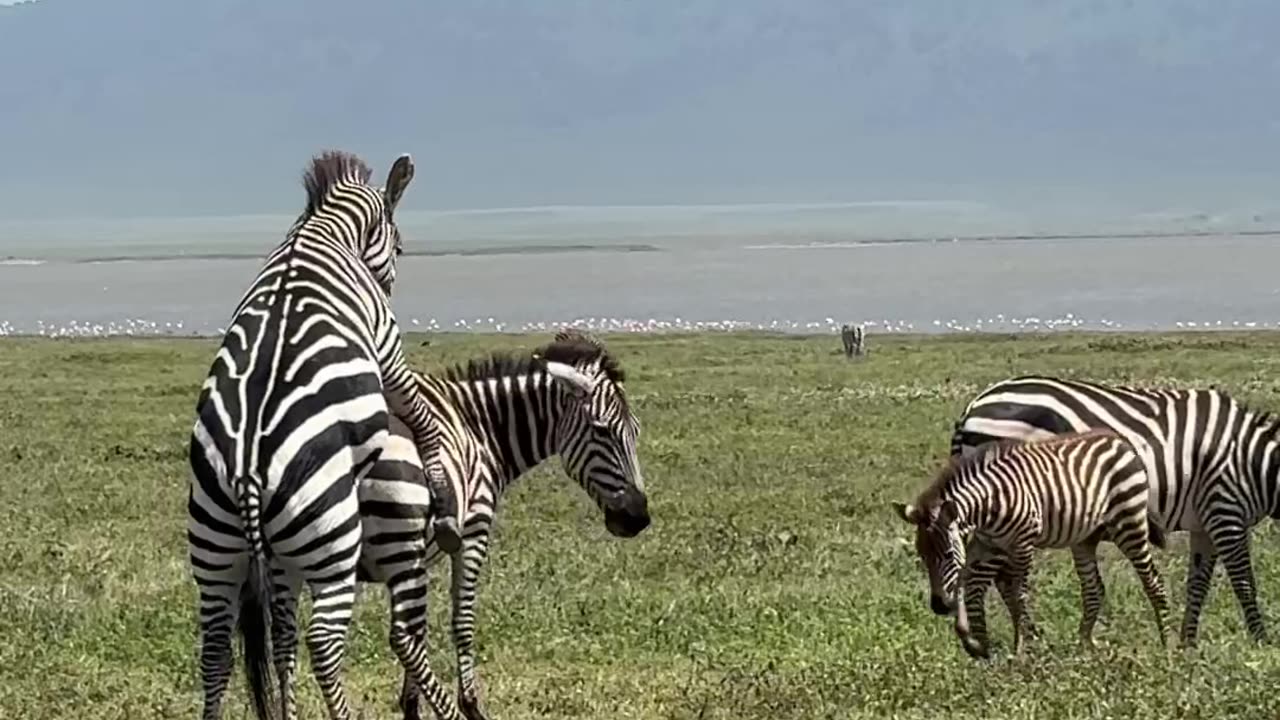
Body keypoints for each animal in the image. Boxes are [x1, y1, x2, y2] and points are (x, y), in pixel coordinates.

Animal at [185, 149, 465, 717]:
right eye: (399, 247)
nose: (390, 286)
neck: (322, 230)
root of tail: (246, 472)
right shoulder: (387, 347)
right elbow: (422, 417)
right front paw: (442, 490)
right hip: (332, 543)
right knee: (321, 644)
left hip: (217, 545)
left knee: (222, 649)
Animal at [355, 326, 650, 717]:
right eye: (602, 430)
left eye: (635, 431)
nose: (638, 518)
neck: (480, 426)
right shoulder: (472, 531)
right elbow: (460, 620)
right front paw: (469, 704)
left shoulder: (425, 551)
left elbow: (423, 629)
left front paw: (411, 705)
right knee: (399, 635)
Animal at [890, 425, 1172, 655]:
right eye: (922, 556)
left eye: (947, 554)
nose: (938, 606)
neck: (988, 504)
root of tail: (1122, 441)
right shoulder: (987, 544)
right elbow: (967, 582)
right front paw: (976, 643)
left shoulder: (1023, 543)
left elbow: (1017, 595)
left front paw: (1020, 648)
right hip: (1085, 537)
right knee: (1094, 589)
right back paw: (1084, 645)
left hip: (1128, 522)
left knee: (1153, 581)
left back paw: (1167, 644)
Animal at [952, 376, 1280, 645]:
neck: (1255, 462)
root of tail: (975, 404)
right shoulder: (1225, 510)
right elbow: (1244, 582)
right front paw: (1261, 641)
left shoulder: (1205, 522)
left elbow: (1198, 583)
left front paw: (1188, 643)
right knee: (1001, 579)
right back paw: (1025, 640)